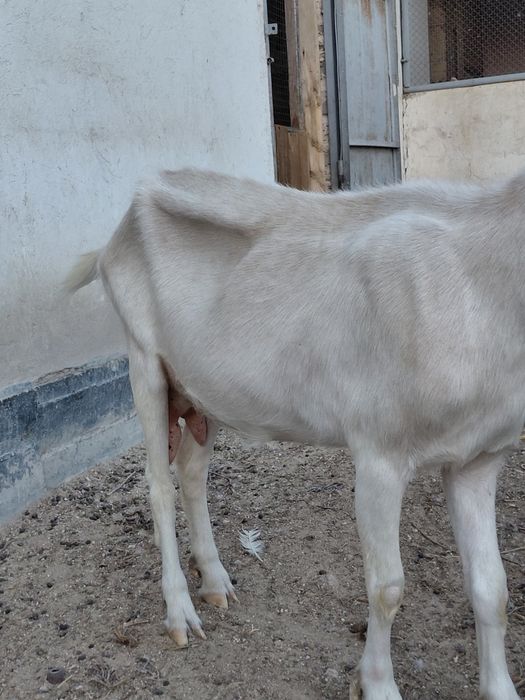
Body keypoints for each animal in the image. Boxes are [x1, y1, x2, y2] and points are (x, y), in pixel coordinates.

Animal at [67, 168, 524, 699]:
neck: (480, 287)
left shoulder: (479, 458)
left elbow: (493, 588)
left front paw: (500, 687)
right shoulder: (380, 451)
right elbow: (387, 587)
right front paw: (377, 683)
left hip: (206, 390)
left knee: (192, 470)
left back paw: (215, 580)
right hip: (143, 360)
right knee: (158, 483)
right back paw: (179, 609)